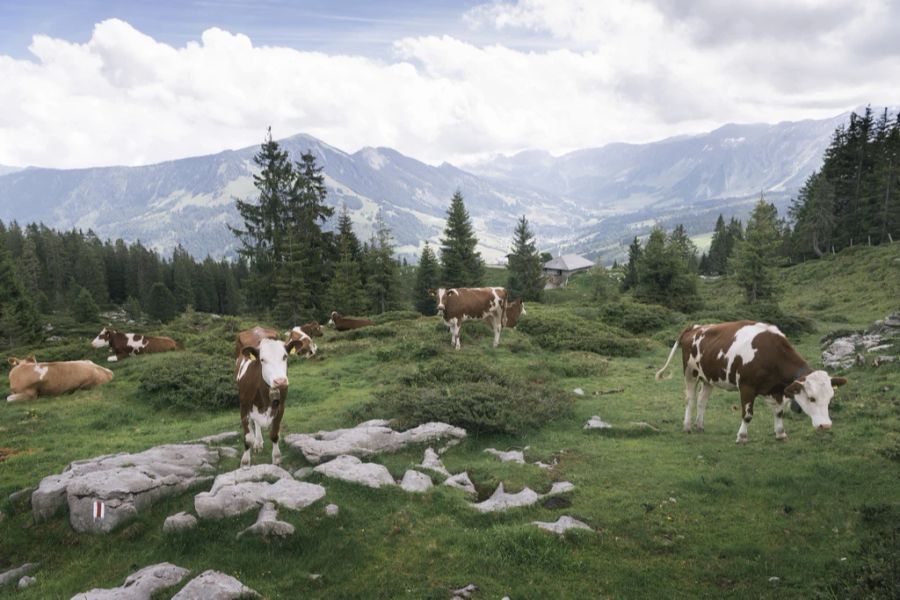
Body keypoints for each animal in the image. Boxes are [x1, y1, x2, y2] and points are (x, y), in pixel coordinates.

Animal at [234, 326, 308, 466]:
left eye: (285, 356)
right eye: (262, 359)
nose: (280, 381)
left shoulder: (281, 406)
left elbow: (274, 434)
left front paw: (277, 459)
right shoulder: (243, 406)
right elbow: (247, 438)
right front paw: (245, 462)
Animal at [652, 322, 848, 442]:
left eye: (830, 399)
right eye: (812, 398)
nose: (825, 425)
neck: (770, 353)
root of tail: (695, 327)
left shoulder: (777, 388)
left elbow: (779, 413)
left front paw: (780, 434)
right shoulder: (747, 387)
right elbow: (747, 414)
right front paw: (742, 437)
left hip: (708, 377)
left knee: (702, 401)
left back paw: (699, 425)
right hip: (690, 373)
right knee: (690, 400)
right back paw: (687, 427)